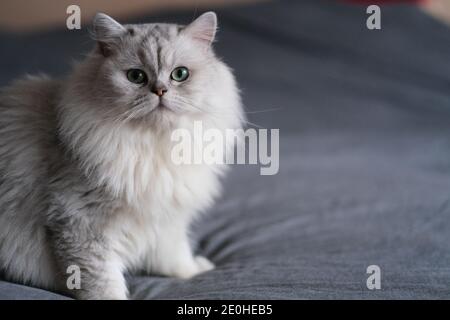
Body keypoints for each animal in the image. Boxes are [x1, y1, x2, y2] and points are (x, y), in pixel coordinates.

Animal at [0, 10, 243, 300]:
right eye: (136, 76)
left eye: (180, 74)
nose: (160, 91)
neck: (154, 146)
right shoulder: (80, 224)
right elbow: (104, 284)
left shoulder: (166, 221)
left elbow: (175, 258)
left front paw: (196, 271)